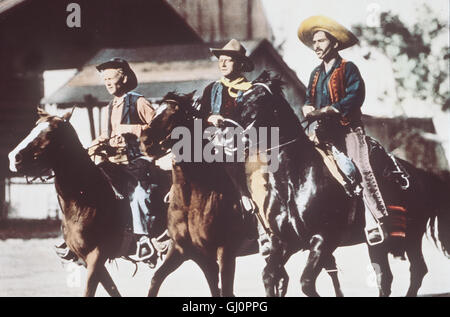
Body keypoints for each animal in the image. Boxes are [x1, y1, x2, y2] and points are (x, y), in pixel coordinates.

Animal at [8, 107, 171, 296]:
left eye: (49, 132)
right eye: (34, 126)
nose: (13, 157)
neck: (84, 199)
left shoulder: (96, 256)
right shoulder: (86, 259)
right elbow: (112, 289)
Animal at [229, 71, 450, 296]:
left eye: (259, 98)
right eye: (239, 100)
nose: (231, 134)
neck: (293, 182)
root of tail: (421, 176)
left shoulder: (324, 238)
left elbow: (306, 281)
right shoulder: (285, 242)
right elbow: (269, 276)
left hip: (412, 235)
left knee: (417, 270)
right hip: (377, 244)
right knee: (385, 276)